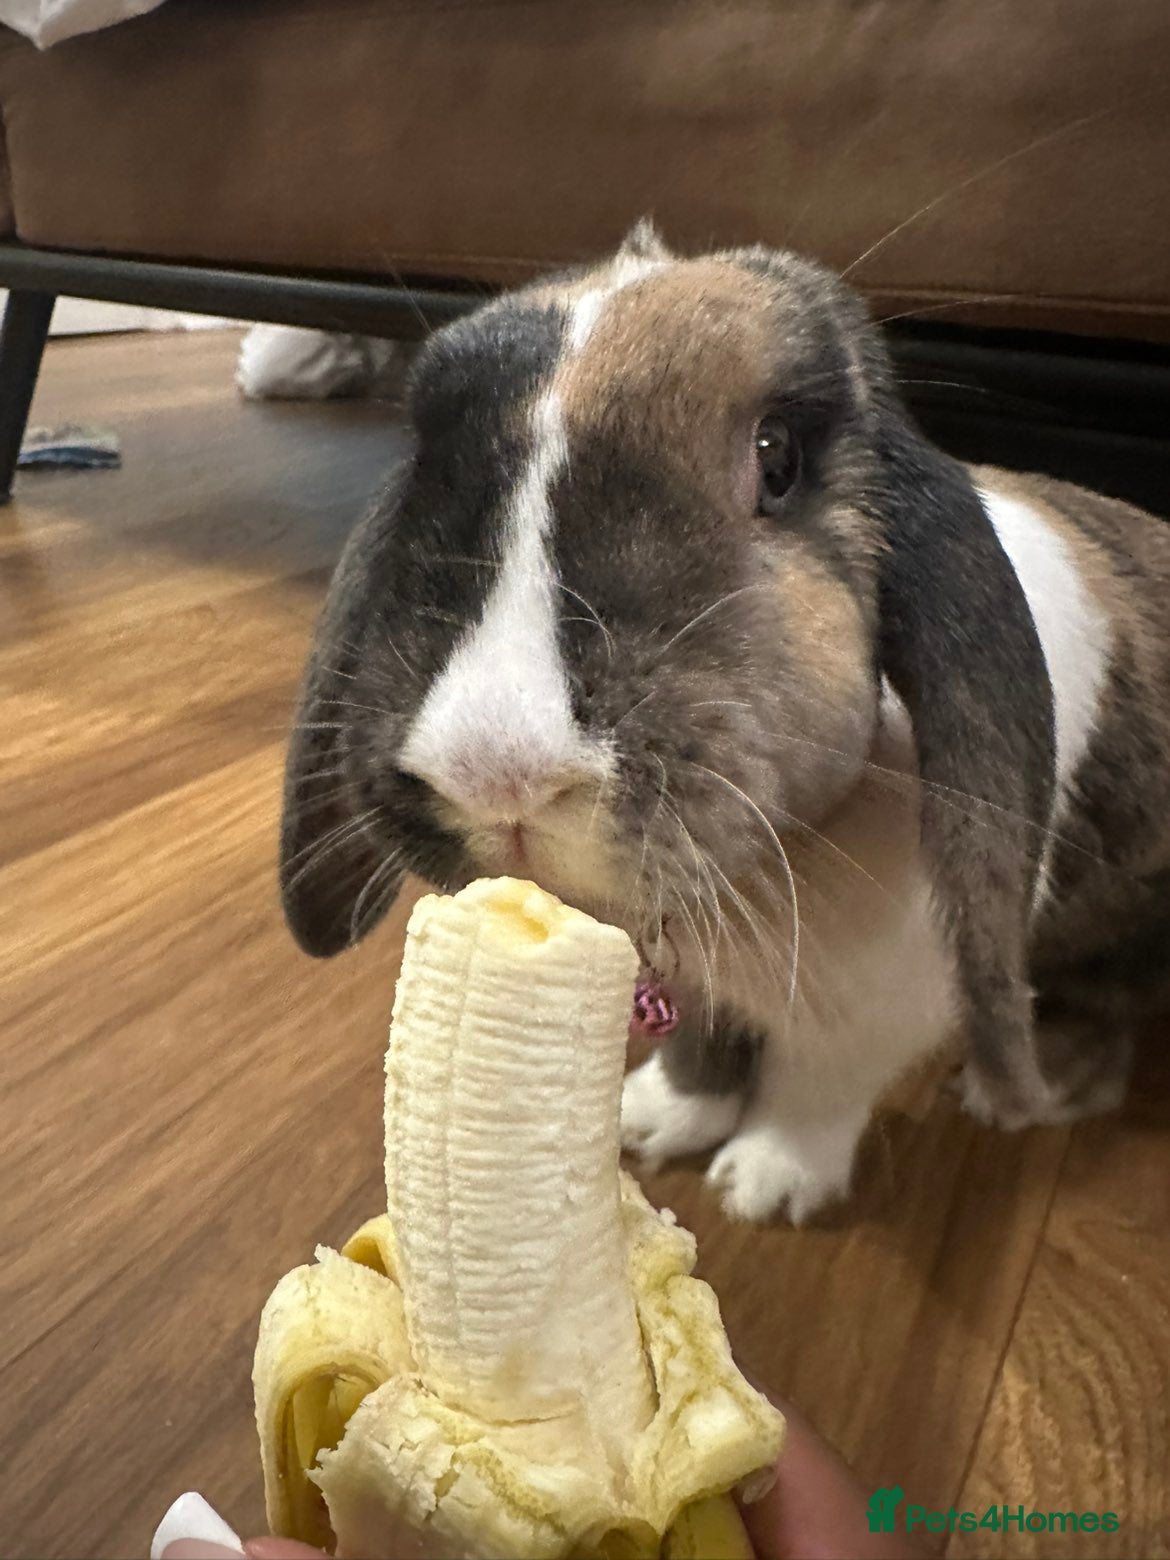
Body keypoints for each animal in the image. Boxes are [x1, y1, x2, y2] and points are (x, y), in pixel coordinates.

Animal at [279, 220, 1170, 1223]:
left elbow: (817, 1090)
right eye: (429, 462)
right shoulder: (694, 980)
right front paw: (656, 1120)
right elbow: (702, 1041)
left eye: (776, 458)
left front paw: (763, 1185)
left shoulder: (882, 1006)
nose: (496, 774)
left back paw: (1047, 1073)